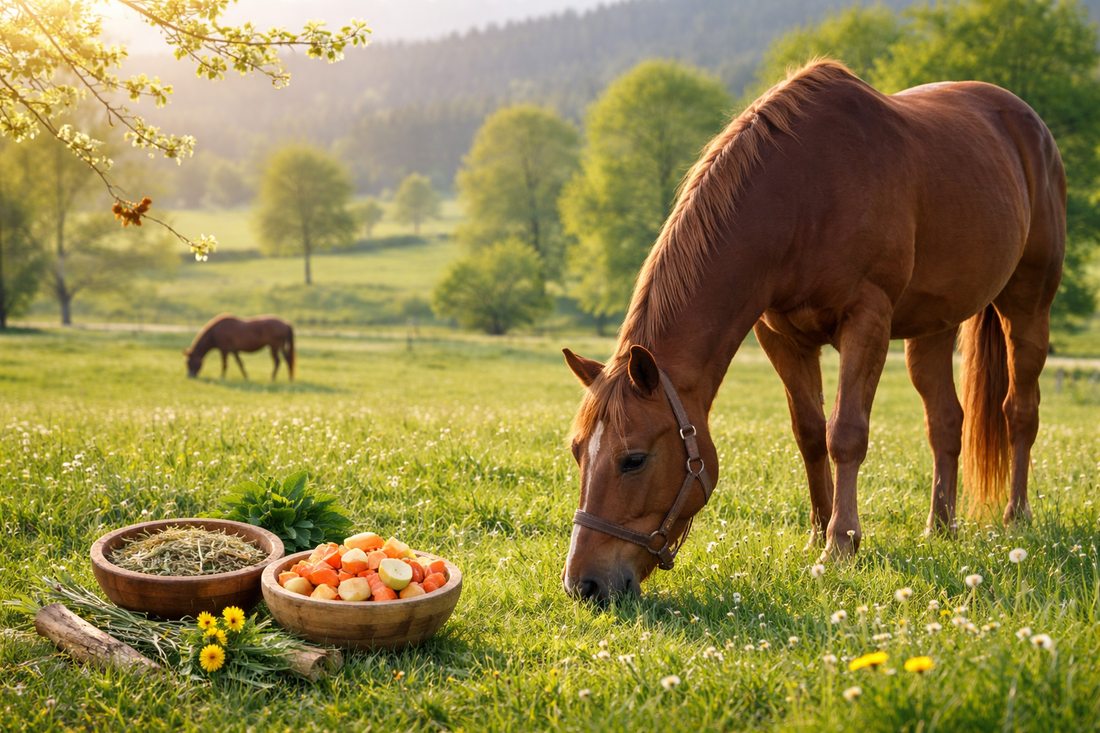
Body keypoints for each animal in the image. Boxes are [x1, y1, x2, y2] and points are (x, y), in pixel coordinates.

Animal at [561, 60, 1065, 603]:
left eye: (633, 459)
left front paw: (840, 543)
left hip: (1028, 307)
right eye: (577, 451)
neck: (803, 194)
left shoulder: (866, 319)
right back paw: (941, 527)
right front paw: (817, 531)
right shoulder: (782, 337)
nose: (584, 584)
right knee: (947, 422)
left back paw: (1016, 517)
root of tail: (1026, 121)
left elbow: (845, 433)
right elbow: (810, 434)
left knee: (1020, 411)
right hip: (934, 327)